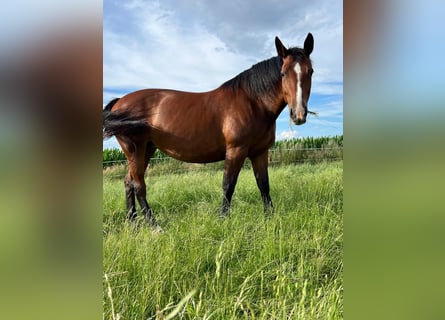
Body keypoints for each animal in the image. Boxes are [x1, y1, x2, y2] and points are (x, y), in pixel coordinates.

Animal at [103, 33, 314, 228]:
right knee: (139, 185)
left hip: (147, 149)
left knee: (128, 182)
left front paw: (269, 218)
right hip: (134, 149)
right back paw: (154, 226)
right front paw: (223, 220)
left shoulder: (260, 152)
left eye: (310, 72)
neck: (253, 102)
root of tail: (120, 102)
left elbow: (263, 185)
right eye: (283, 73)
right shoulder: (236, 150)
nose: (298, 114)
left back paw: (132, 223)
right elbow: (228, 185)